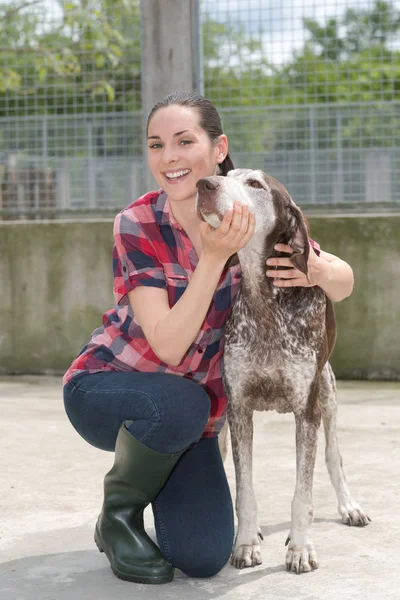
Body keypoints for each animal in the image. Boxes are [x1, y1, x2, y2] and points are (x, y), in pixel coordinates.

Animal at [195, 168, 370, 572]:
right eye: (227, 175)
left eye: (255, 184)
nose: (203, 184)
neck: (266, 301)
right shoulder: (239, 408)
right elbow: (244, 489)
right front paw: (245, 543)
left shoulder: (307, 411)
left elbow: (302, 494)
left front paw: (301, 547)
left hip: (328, 392)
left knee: (334, 456)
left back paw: (349, 506)